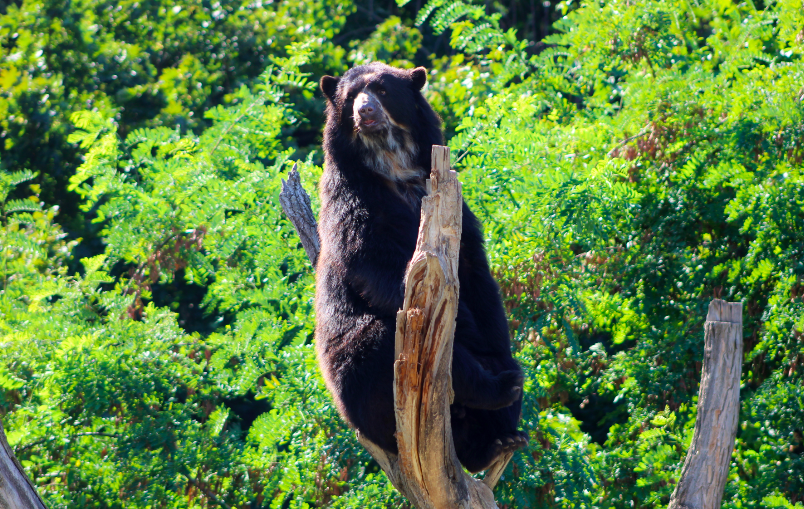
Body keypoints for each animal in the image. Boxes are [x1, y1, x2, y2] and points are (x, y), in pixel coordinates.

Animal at [314, 62, 527, 473]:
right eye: (350, 96)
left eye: (381, 90)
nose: (364, 112)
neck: (392, 166)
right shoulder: (351, 204)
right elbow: (375, 266)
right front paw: (480, 348)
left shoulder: (455, 207)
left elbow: (476, 275)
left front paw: (496, 346)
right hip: (357, 375)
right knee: (379, 343)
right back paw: (499, 388)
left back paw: (501, 436)